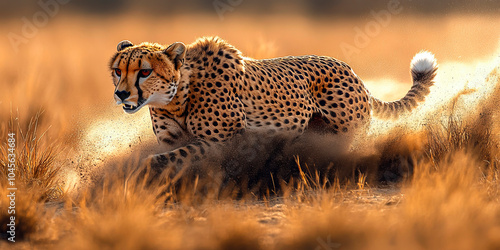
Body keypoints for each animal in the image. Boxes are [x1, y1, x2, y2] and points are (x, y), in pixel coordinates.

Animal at [109, 36, 438, 176]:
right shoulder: (173, 139)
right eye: (117, 70)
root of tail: (349, 68)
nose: (122, 94)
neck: (176, 97)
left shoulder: (222, 142)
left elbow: (171, 157)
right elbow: (172, 156)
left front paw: (142, 169)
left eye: (145, 71)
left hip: (348, 132)